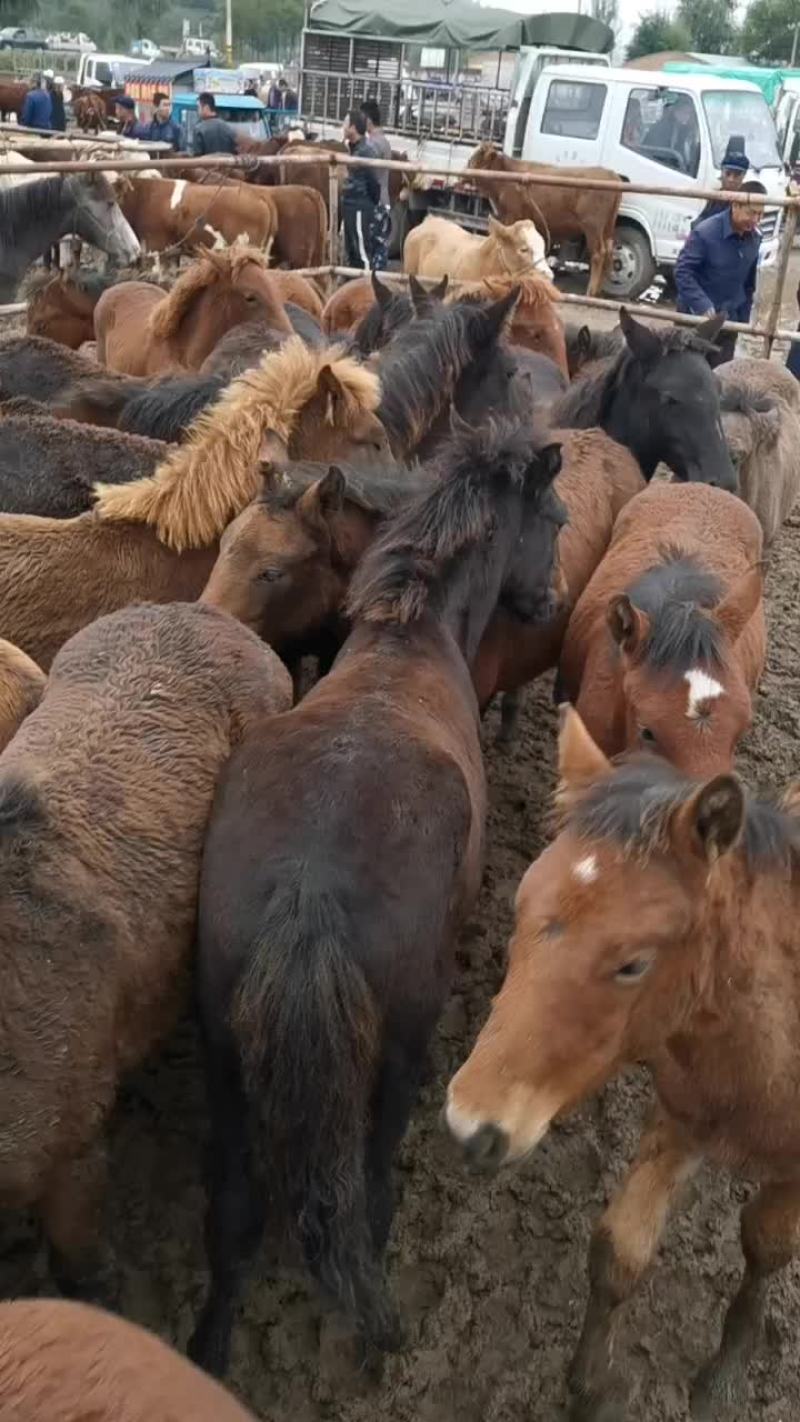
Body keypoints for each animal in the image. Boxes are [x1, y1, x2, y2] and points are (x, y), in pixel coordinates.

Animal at [188, 417, 565, 1376]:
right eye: (554, 517)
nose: (549, 601)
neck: (406, 642)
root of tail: (310, 896)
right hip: (399, 1049)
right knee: (372, 1186)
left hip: (225, 1065)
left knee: (233, 1217)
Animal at [447, 704, 800, 1422]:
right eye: (519, 907)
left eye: (633, 963)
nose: (471, 1125)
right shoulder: (680, 1119)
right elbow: (619, 1252)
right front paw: (590, 1388)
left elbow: (766, 1244)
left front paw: (726, 1373)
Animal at [467, 144, 623, 297]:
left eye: (474, 158)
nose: (465, 169)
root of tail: (612, 175)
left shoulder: (511, 215)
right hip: (607, 227)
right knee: (609, 251)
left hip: (592, 227)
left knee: (598, 254)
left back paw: (590, 291)